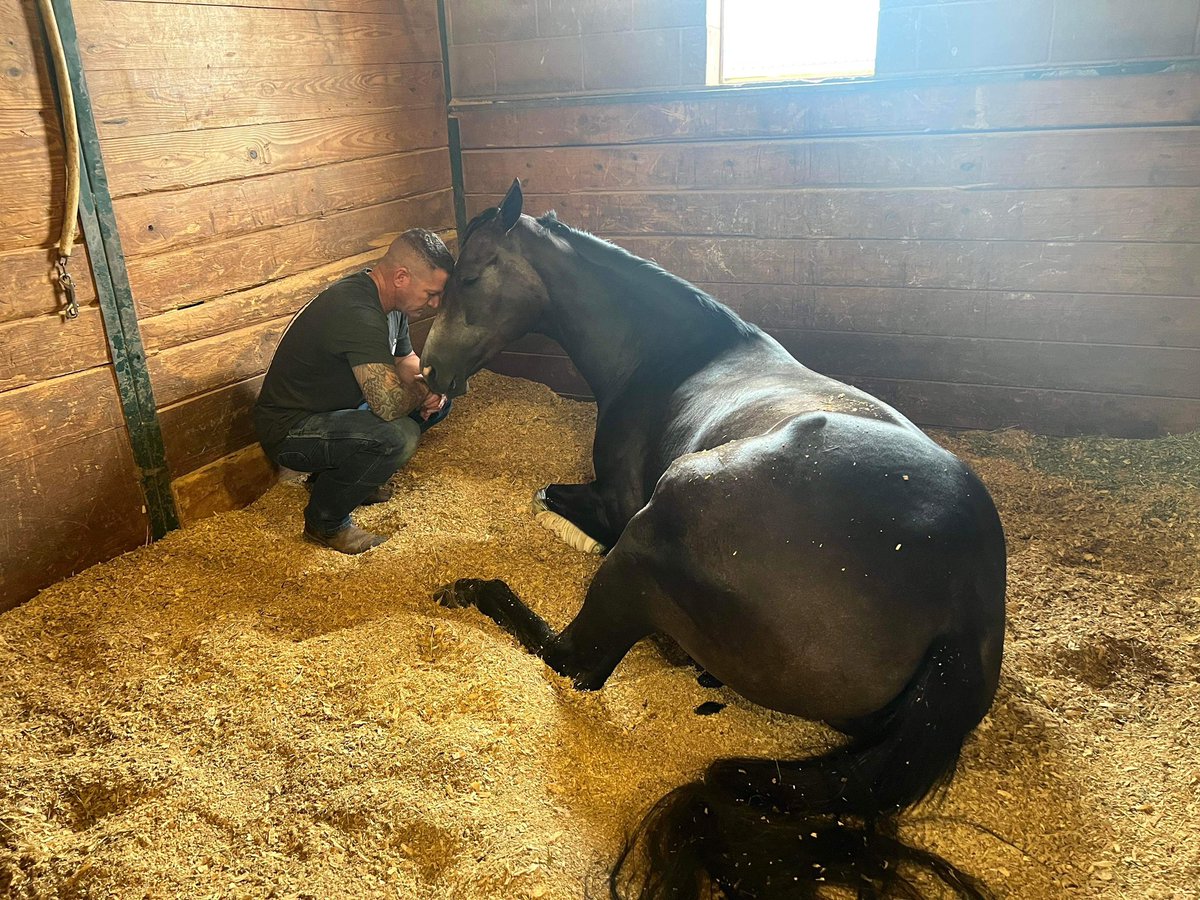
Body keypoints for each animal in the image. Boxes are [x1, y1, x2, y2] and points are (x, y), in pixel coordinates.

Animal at [421, 179, 1006, 899]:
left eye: (472, 276)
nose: (430, 370)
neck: (673, 353)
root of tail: (963, 609)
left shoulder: (618, 508)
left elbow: (550, 499)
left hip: (661, 519)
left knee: (576, 660)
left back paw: (472, 589)